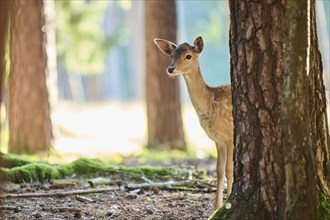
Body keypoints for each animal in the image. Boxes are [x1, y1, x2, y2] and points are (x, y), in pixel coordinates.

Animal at [154, 36, 233, 210]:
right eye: (172, 55)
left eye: (188, 56)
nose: (170, 69)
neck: (211, 103)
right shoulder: (217, 139)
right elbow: (219, 171)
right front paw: (216, 207)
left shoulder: (231, 135)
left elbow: (230, 170)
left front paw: (228, 202)